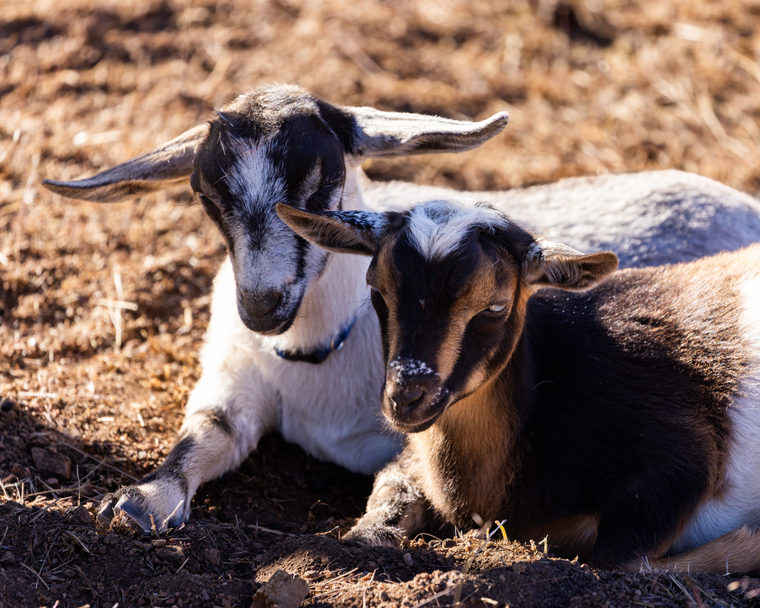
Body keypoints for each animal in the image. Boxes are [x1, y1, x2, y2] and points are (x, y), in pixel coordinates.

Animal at [42, 83, 760, 535]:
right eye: (206, 196)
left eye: (321, 181)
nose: (262, 305)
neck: (314, 356)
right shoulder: (233, 381)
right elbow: (205, 434)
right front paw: (141, 502)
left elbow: (397, 484)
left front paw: (368, 534)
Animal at [277, 198, 760, 574]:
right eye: (377, 292)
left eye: (494, 306)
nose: (406, 396)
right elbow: (385, 497)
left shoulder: (679, 455)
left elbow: (619, 560)